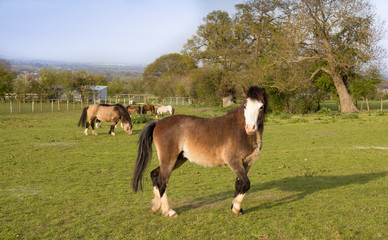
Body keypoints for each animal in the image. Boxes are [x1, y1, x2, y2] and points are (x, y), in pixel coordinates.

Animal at [132, 85, 268, 217]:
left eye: (261, 107)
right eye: (245, 105)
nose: (250, 128)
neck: (241, 130)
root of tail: (159, 122)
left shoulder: (246, 163)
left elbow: (239, 184)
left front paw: (237, 208)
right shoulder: (234, 161)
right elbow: (246, 183)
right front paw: (236, 208)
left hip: (178, 160)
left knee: (154, 175)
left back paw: (156, 207)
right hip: (169, 160)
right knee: (162, 181)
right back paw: (169, 211)